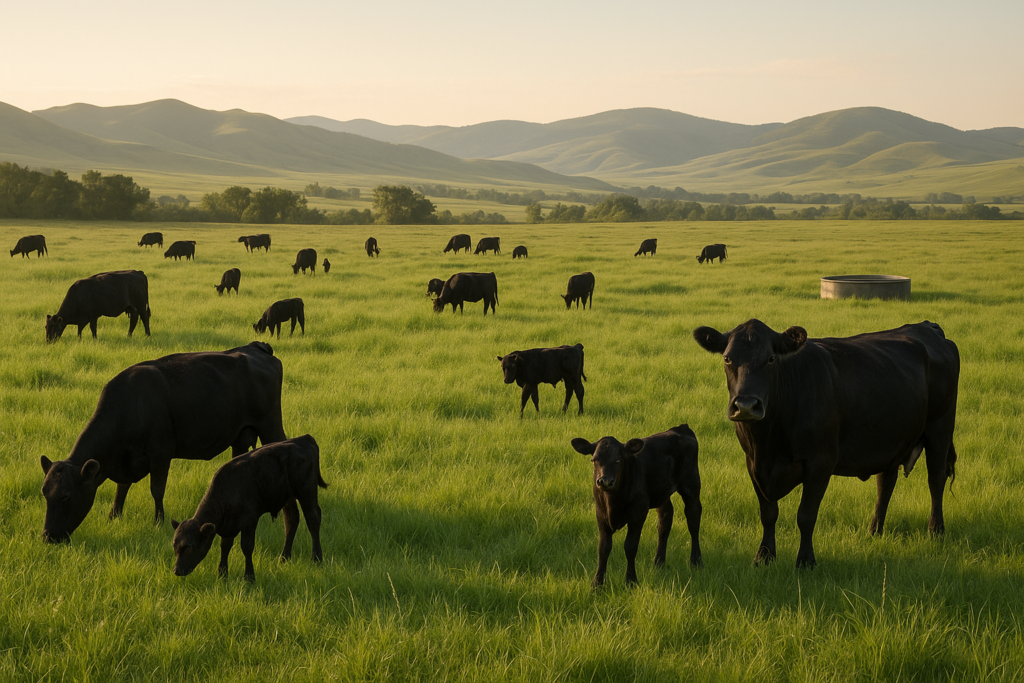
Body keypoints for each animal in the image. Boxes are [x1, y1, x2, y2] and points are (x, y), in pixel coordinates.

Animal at [39, 341, 287, 543]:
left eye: (66, 496)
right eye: (44, 493)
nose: (48, 536)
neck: (131, 404)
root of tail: (255, 347)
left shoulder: (160, 453)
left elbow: (157, 490)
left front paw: (159, 521)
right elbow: (121, 489)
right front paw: (114, 516)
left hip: (270, 425)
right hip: (241, 436)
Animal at [171, 434, 326, 582]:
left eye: (189, 547)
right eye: (174, 545)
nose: (177, 570)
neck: (228, 489)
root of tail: (304, 438)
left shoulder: (249, 521)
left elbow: (247, 547)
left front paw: (249, 577)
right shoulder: (229, 526)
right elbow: (225, 546)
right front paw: (222, 574)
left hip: (307, 492)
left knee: (313, 518)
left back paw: (317, 557)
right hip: (288, 497)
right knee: (291, 520)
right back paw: (284, 558)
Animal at [571, 424, 702, 588]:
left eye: (618, 460)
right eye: (594, 460)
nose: (605, 481)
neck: (612, 501)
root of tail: (681, 428)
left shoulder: (638, 514)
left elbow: (630, 546)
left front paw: (631, 581)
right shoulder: (601, 515)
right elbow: (603, 548)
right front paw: (597, 584)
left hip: (691, 485)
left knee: (693, 520)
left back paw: (696, 561)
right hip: (662, 493)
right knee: (665, 521)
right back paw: (659, 562)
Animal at [693, 319, 960, 568]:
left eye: (771, 358)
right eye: (727, 358)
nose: (746, 405)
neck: (767, 441)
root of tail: (927, 326)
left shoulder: (820, 462)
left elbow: (806, 515)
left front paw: (805, 561)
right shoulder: (753, 464)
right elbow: (768, 513)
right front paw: (764, 557)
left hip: (940, 426)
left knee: (936, 479)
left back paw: (936, 531)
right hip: (891, 439)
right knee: (885, 483)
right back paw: (874, 531)